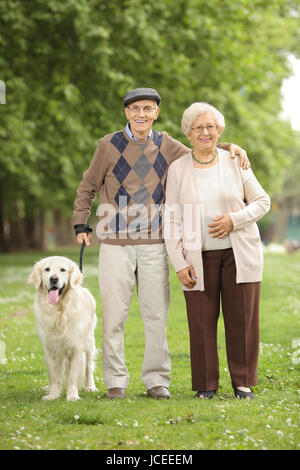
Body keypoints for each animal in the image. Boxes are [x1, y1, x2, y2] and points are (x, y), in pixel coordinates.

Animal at [28, 258, 97, 400]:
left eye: (63, 270)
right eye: (47, 269)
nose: (53, 279)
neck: (59, 310)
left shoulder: (77, 347)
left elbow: (73, 376)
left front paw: (72, 396)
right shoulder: (49, 348)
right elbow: (54, 376)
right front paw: (53, 395)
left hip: (89, 343)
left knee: (89, 367)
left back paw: (90, 387)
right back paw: (48, 388)